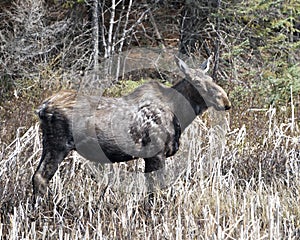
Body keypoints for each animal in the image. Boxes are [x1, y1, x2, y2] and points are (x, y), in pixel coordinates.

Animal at [32, 56, 230, 197]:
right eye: (196, 82)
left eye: (211, 78)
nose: (225, 101)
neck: (179, 113)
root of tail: (42, 108)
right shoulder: (156, 154)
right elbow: (155, 191)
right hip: (58, 145)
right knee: (41, 178)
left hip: (48, 144)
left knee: (36, 176)